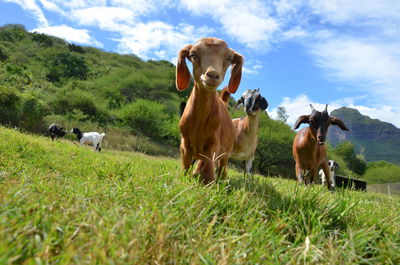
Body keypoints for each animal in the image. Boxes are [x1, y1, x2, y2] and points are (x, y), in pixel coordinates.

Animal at [176, 37, 244, 184]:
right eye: (193, 54)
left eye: (229, 58)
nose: (212, 75)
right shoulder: (184, 142)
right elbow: (186, 165)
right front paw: (184, 179)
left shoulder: (214, 143)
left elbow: (207, 164)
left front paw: (207, 182)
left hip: (227, 150)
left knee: (221, 165)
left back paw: (221, 178)